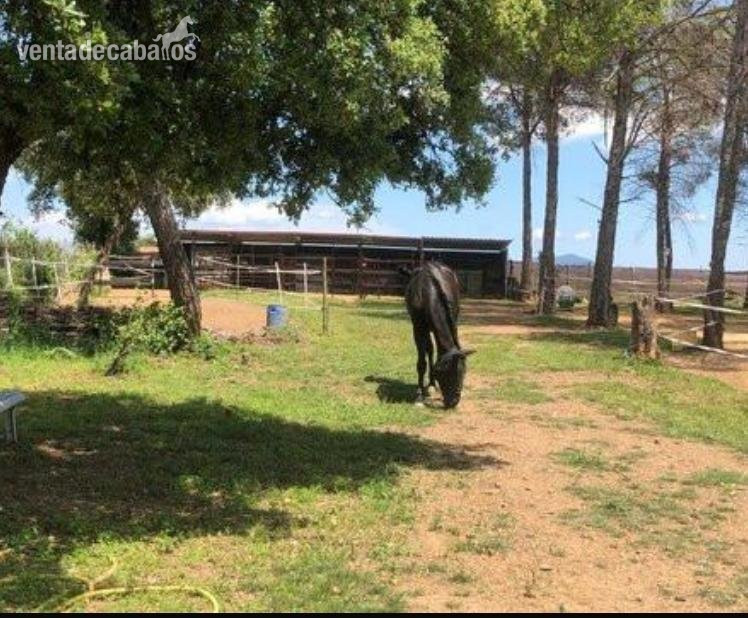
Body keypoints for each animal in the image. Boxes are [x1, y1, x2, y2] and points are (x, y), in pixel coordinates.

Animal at [403, 262, 474, 408]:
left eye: (463, 372)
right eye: (447, 374)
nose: (454, 402)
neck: (429, 292)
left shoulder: (454, 321)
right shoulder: (418, 329)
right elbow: (421, 363)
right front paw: (419, 396)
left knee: (431, 349)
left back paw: (431, 385)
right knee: (429, 350)